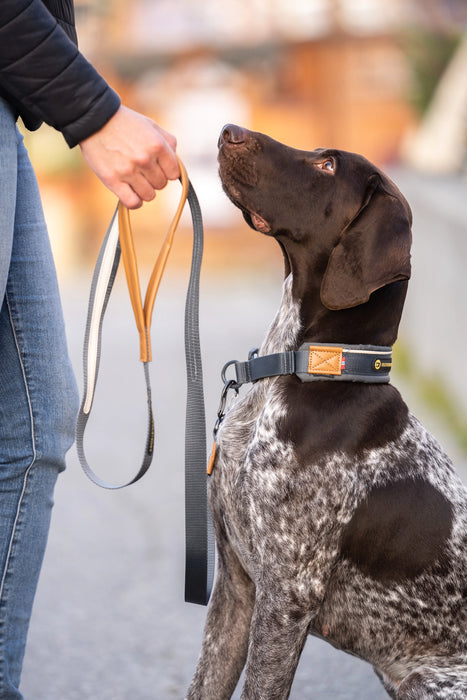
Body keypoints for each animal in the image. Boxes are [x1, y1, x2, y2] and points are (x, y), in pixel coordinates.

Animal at [186, 126, 467, 700]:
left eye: (328, 166)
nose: (229, 131)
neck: (307, 367)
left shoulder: (286, 597)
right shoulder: (236, 587)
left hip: (426, 682)